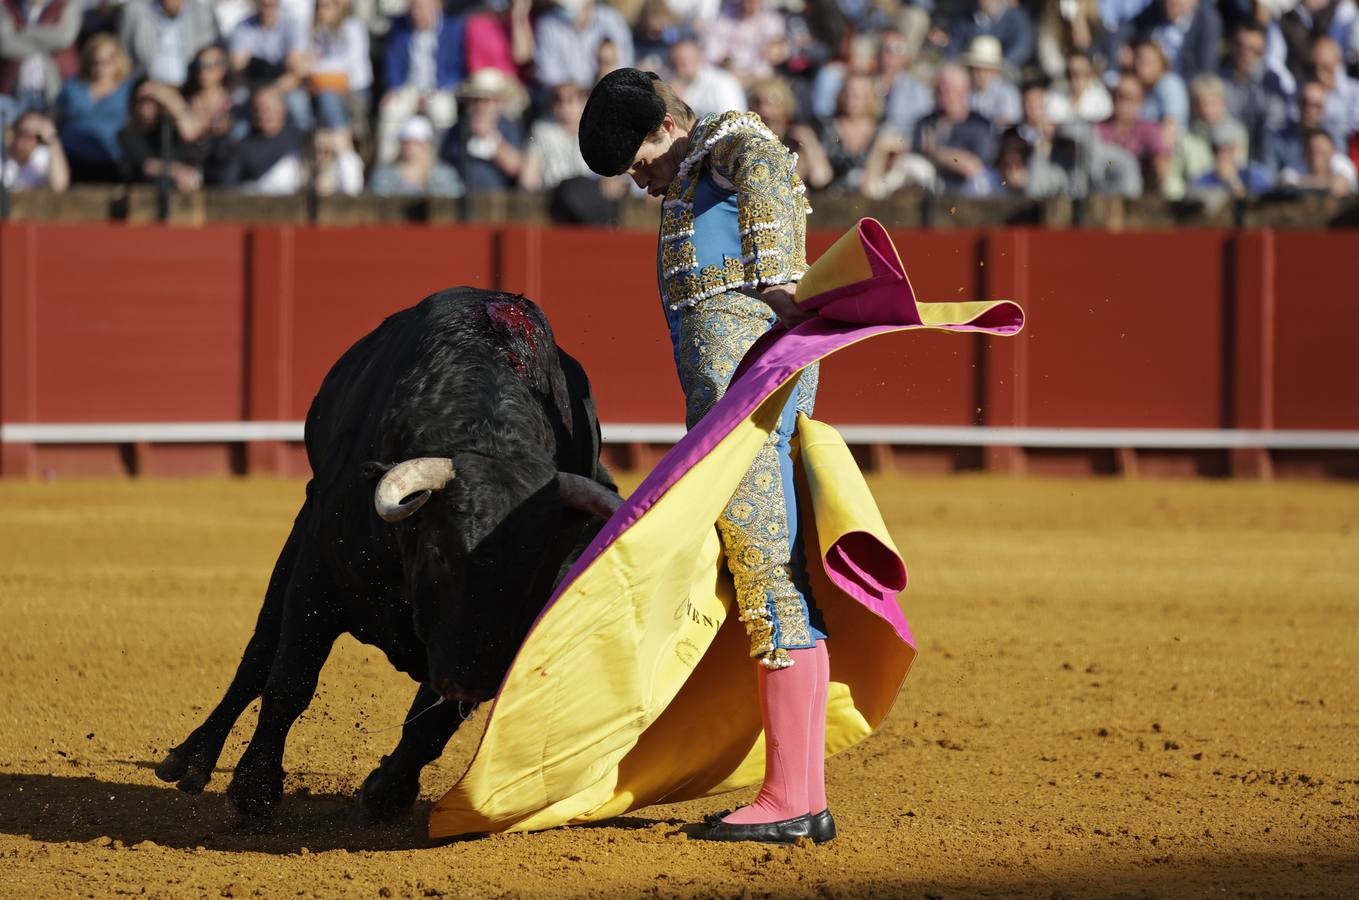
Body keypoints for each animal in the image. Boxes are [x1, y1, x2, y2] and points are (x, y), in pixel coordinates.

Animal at [157, 286, 622, 815]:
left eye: (539, 579)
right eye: (441, 554)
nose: (471, 678)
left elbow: (432, 723)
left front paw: (388, 791)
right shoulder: (317, 572)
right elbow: (290, 679)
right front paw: (253, 791)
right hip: (299, 533)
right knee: (260, 651)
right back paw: (191, 759)